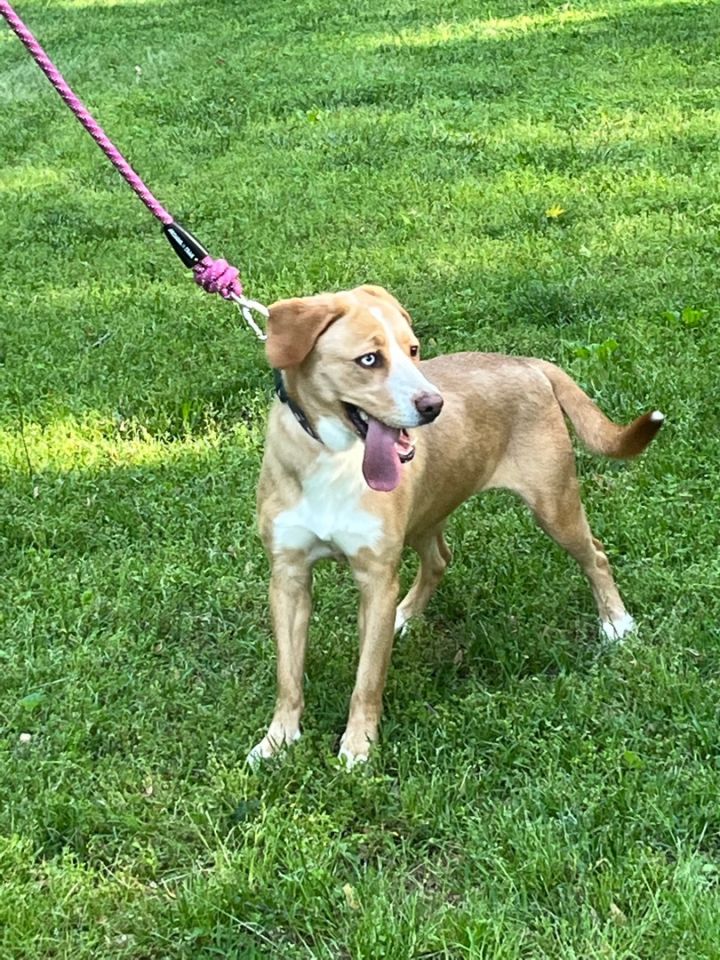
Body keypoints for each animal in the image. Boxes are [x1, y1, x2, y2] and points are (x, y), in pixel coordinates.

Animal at [249, 284, 664, 764]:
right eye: (369, 359)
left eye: (413, 350)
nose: (434, 406)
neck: (332, 459)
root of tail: (528, 363)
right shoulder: (288, 576)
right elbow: (288, 676)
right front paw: (278, 739)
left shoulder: (376, 578)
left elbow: (367, 679)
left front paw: (357, 746)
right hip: (428, 512)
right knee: (439, 560)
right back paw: (403, 614)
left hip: (554, 505)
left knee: (594, 555)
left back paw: (616, 625)